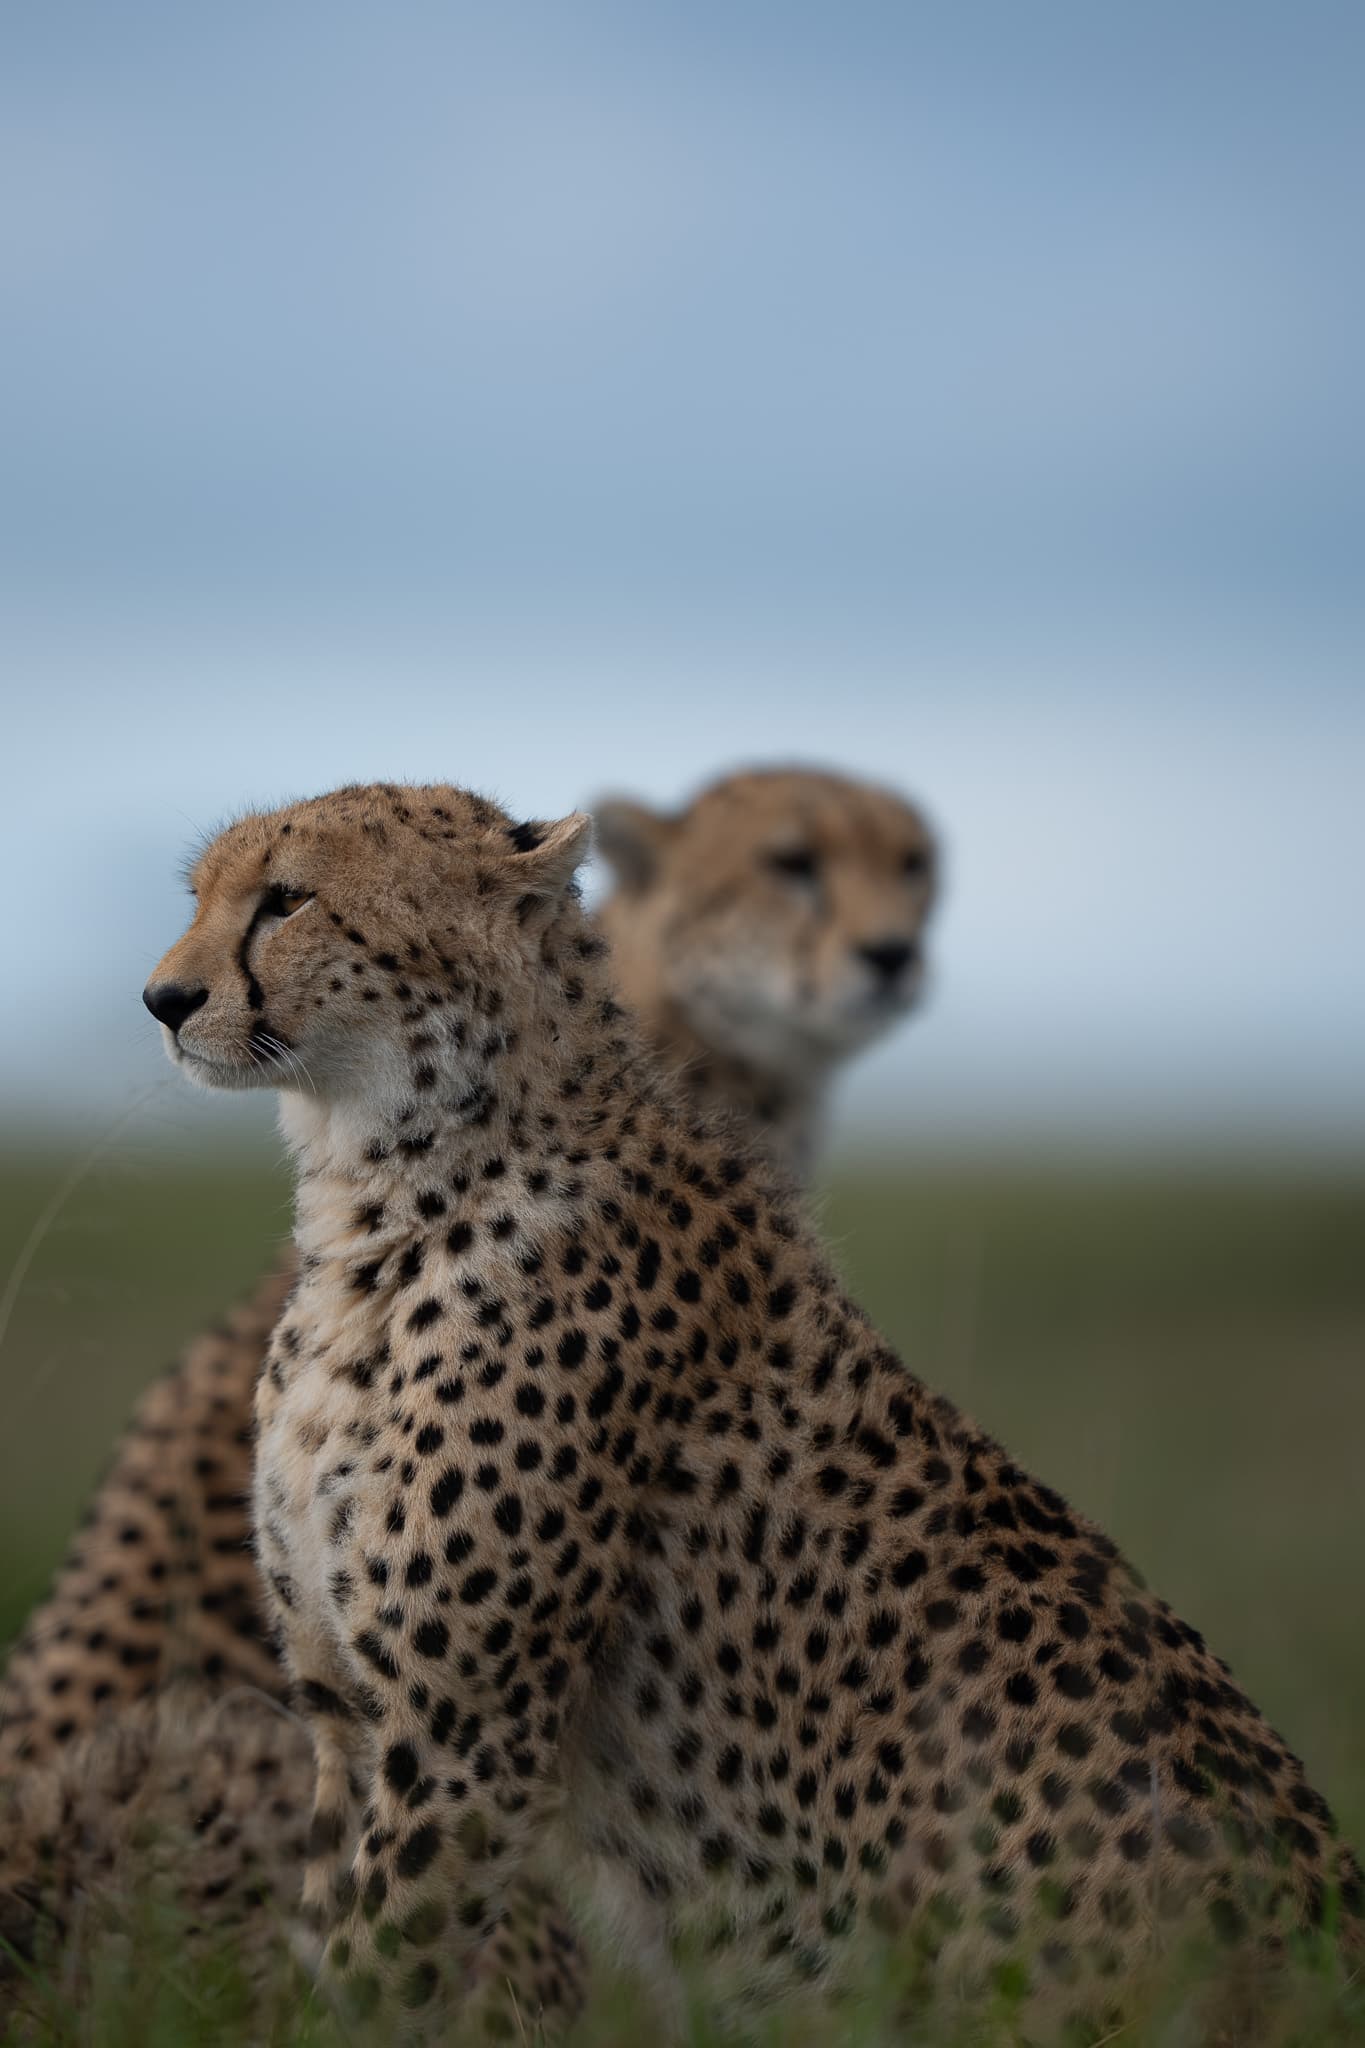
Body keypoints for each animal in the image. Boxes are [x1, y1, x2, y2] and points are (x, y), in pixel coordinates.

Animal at [133, 778, 1359, 2040]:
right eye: (203, 894)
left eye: (287, 899)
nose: (164, 999)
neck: (381, 1195)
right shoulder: (346, 1714)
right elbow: (327, 1951)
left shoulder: (466, 1734)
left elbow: (383, 1972)